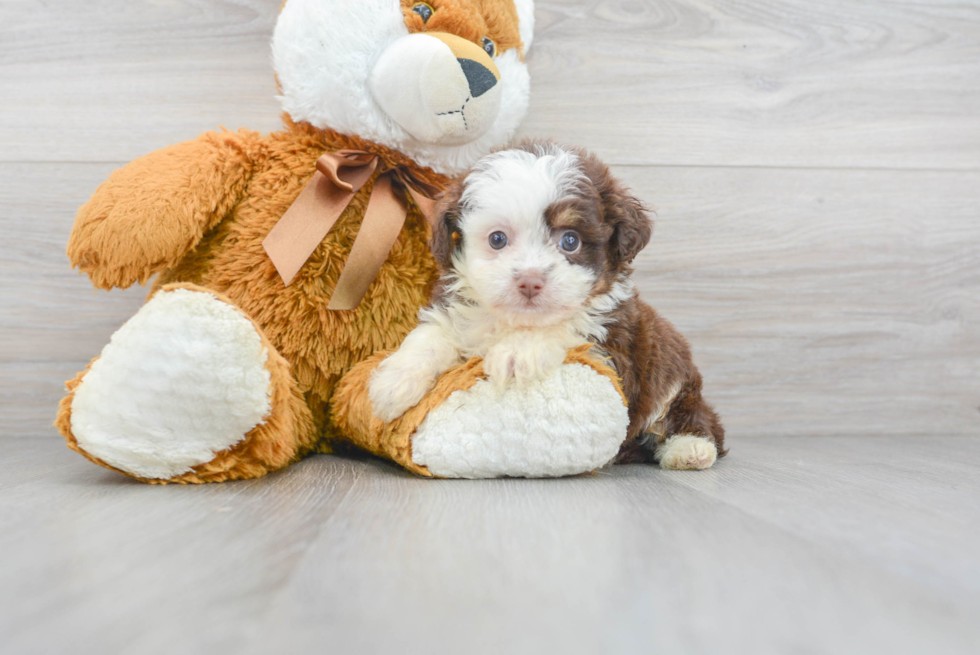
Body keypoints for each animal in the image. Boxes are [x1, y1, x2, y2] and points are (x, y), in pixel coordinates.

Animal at [370, 138, 728, 468]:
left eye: (570, 240)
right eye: (497, 239)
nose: (530, 281)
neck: (514, 321)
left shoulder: (613, 346)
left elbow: (565, 327)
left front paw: (517, 351)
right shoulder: (457, 310)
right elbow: (432, 335)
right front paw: (394, 381)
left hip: (672, 374)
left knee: (695, 418)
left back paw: (691, 448)